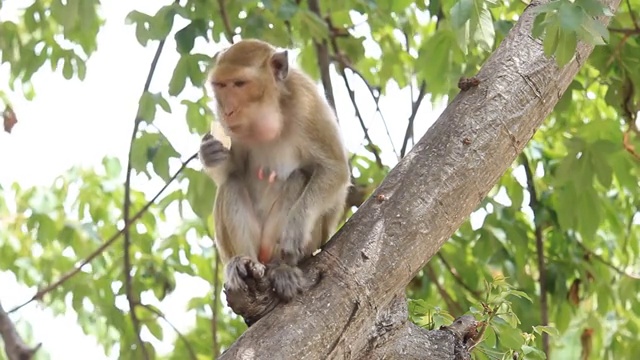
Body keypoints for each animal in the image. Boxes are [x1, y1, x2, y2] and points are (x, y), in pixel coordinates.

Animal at [200, 38, 350, 300]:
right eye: (220, 85)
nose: (228, 111)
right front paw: (209, 153)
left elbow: (335, 169)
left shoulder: (307, 102)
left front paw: (295, 229)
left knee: (299, 177)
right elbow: (232, 171)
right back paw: (243, 263)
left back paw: (282, 268)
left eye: (239, 84)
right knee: (232, 183)